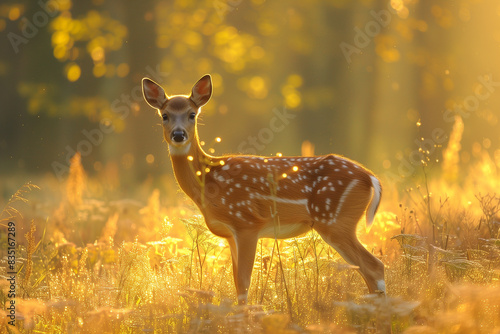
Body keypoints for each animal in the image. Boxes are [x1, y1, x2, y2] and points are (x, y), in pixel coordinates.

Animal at [143, 74, 384, 304]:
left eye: (192, 114)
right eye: (164, 115)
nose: (178, 134)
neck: (210, 180)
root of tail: (370, 177)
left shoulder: (247, 223)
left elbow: (244, 284)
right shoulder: (230, 233)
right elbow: (237, 282)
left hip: (336, 221)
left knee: (375, 266)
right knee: (367, 271)